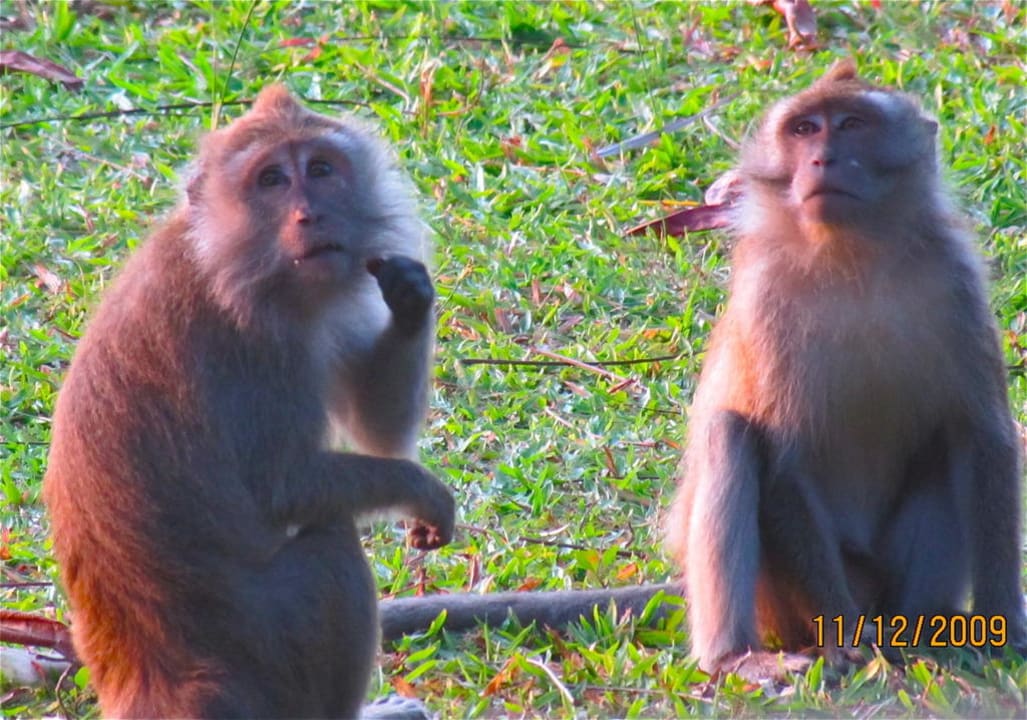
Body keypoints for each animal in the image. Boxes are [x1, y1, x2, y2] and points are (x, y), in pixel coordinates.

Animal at [42, 85, 455, 718]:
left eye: (320, 169)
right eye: (272, 180)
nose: (310, 214)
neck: (222, 256)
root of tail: (155, 687)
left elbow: (378, 428)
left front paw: (411, 295)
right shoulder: (259, 344)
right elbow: (283, 486)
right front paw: (423, 491)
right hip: (274, 658)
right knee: (330, 537)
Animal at [664, 60, 1027, 680]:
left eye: (852, 125)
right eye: (804, 129)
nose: (823, 159)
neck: (852, 256)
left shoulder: (957, 280)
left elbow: (982, 437)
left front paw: (1004, 627)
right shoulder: (766, 297)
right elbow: (782, 460)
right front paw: (844, 641)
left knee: (943, 445)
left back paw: (926, 631)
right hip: (781, 601)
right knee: (729, 433)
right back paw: (737, 656)